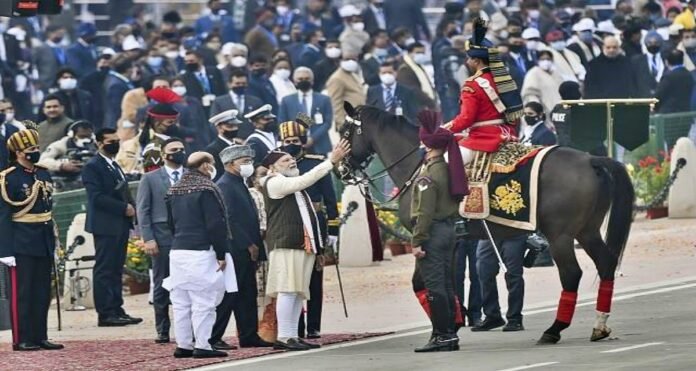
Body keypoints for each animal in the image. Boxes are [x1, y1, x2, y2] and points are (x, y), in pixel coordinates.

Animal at [338, 102, 636, 346]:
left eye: (344, 132)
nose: (341, 169)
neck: (418, 165)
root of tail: (590, 159)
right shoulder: (452, 243)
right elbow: (447, 284)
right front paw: (452, 325)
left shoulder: (425, 239)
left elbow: (422, 283)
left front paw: (440, 333)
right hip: (587, 231)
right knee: (606, 264)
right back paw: (599, 326)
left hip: (560, 236)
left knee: (571, 274)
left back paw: (554, 330)